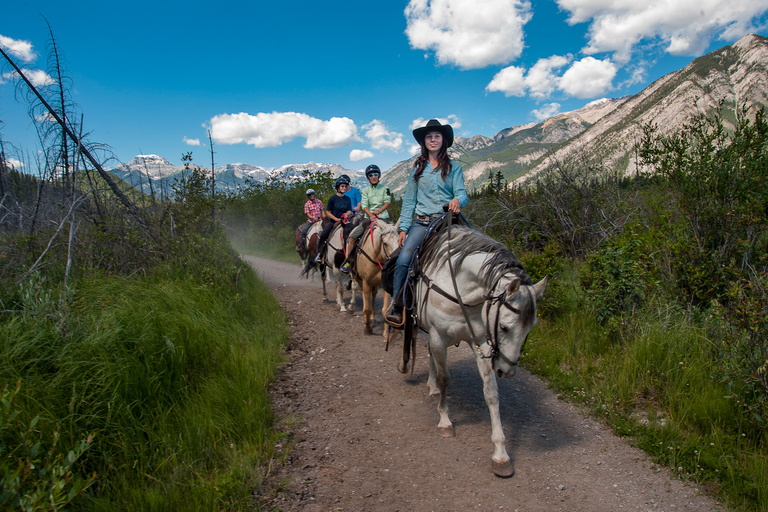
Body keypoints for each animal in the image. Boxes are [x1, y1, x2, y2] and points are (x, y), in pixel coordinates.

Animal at [402, 224, 544, 480]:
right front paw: (445, 421)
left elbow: (491, 392)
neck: (461, 290)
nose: (507, 371)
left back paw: (431, 387)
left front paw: (500, 454)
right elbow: (445, 378)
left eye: (531, 329)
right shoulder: (438, 336)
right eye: (504, 327)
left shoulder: (480, 342)